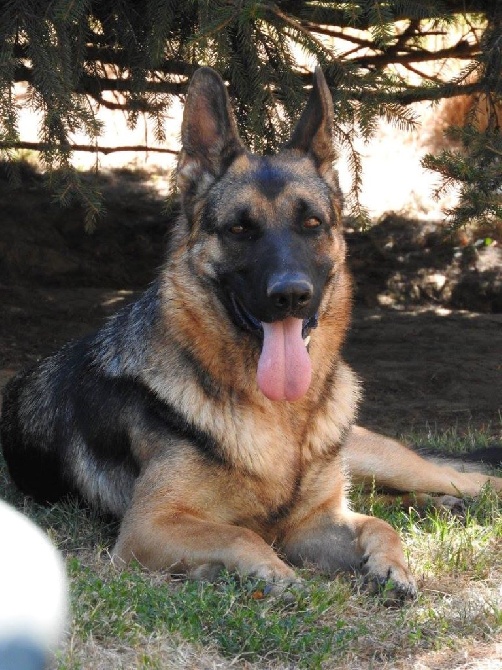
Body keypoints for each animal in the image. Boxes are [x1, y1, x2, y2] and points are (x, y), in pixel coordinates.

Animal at [0, 68, 502, 600]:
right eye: (239, 229)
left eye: (312, 223)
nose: (291, 295)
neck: (277, 417)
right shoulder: (151, 525)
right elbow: (242, 534)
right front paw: (271, 574)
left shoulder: (313, 520)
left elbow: (376, 526)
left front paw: (391, 567)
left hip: (375, 455)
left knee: (457, 478)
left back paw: (450, 499)